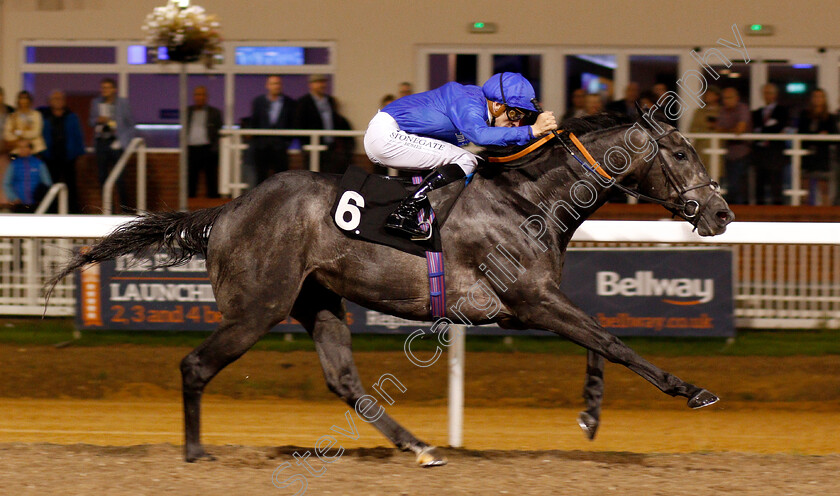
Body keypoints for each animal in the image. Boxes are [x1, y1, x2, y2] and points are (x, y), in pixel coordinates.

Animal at [49, 110, 736, 466]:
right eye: (679, 153)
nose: (721, 212)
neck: (527, 199)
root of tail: (228, 209)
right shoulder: (530, 299)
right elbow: (613, 341)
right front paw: (693, 390)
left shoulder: (529, 305)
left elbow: (598, 343)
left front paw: (590, 415)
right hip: (259, 307)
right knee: (195, 364)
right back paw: (194, 454)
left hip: (318, 300)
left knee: (343, 380)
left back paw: (420, 446)